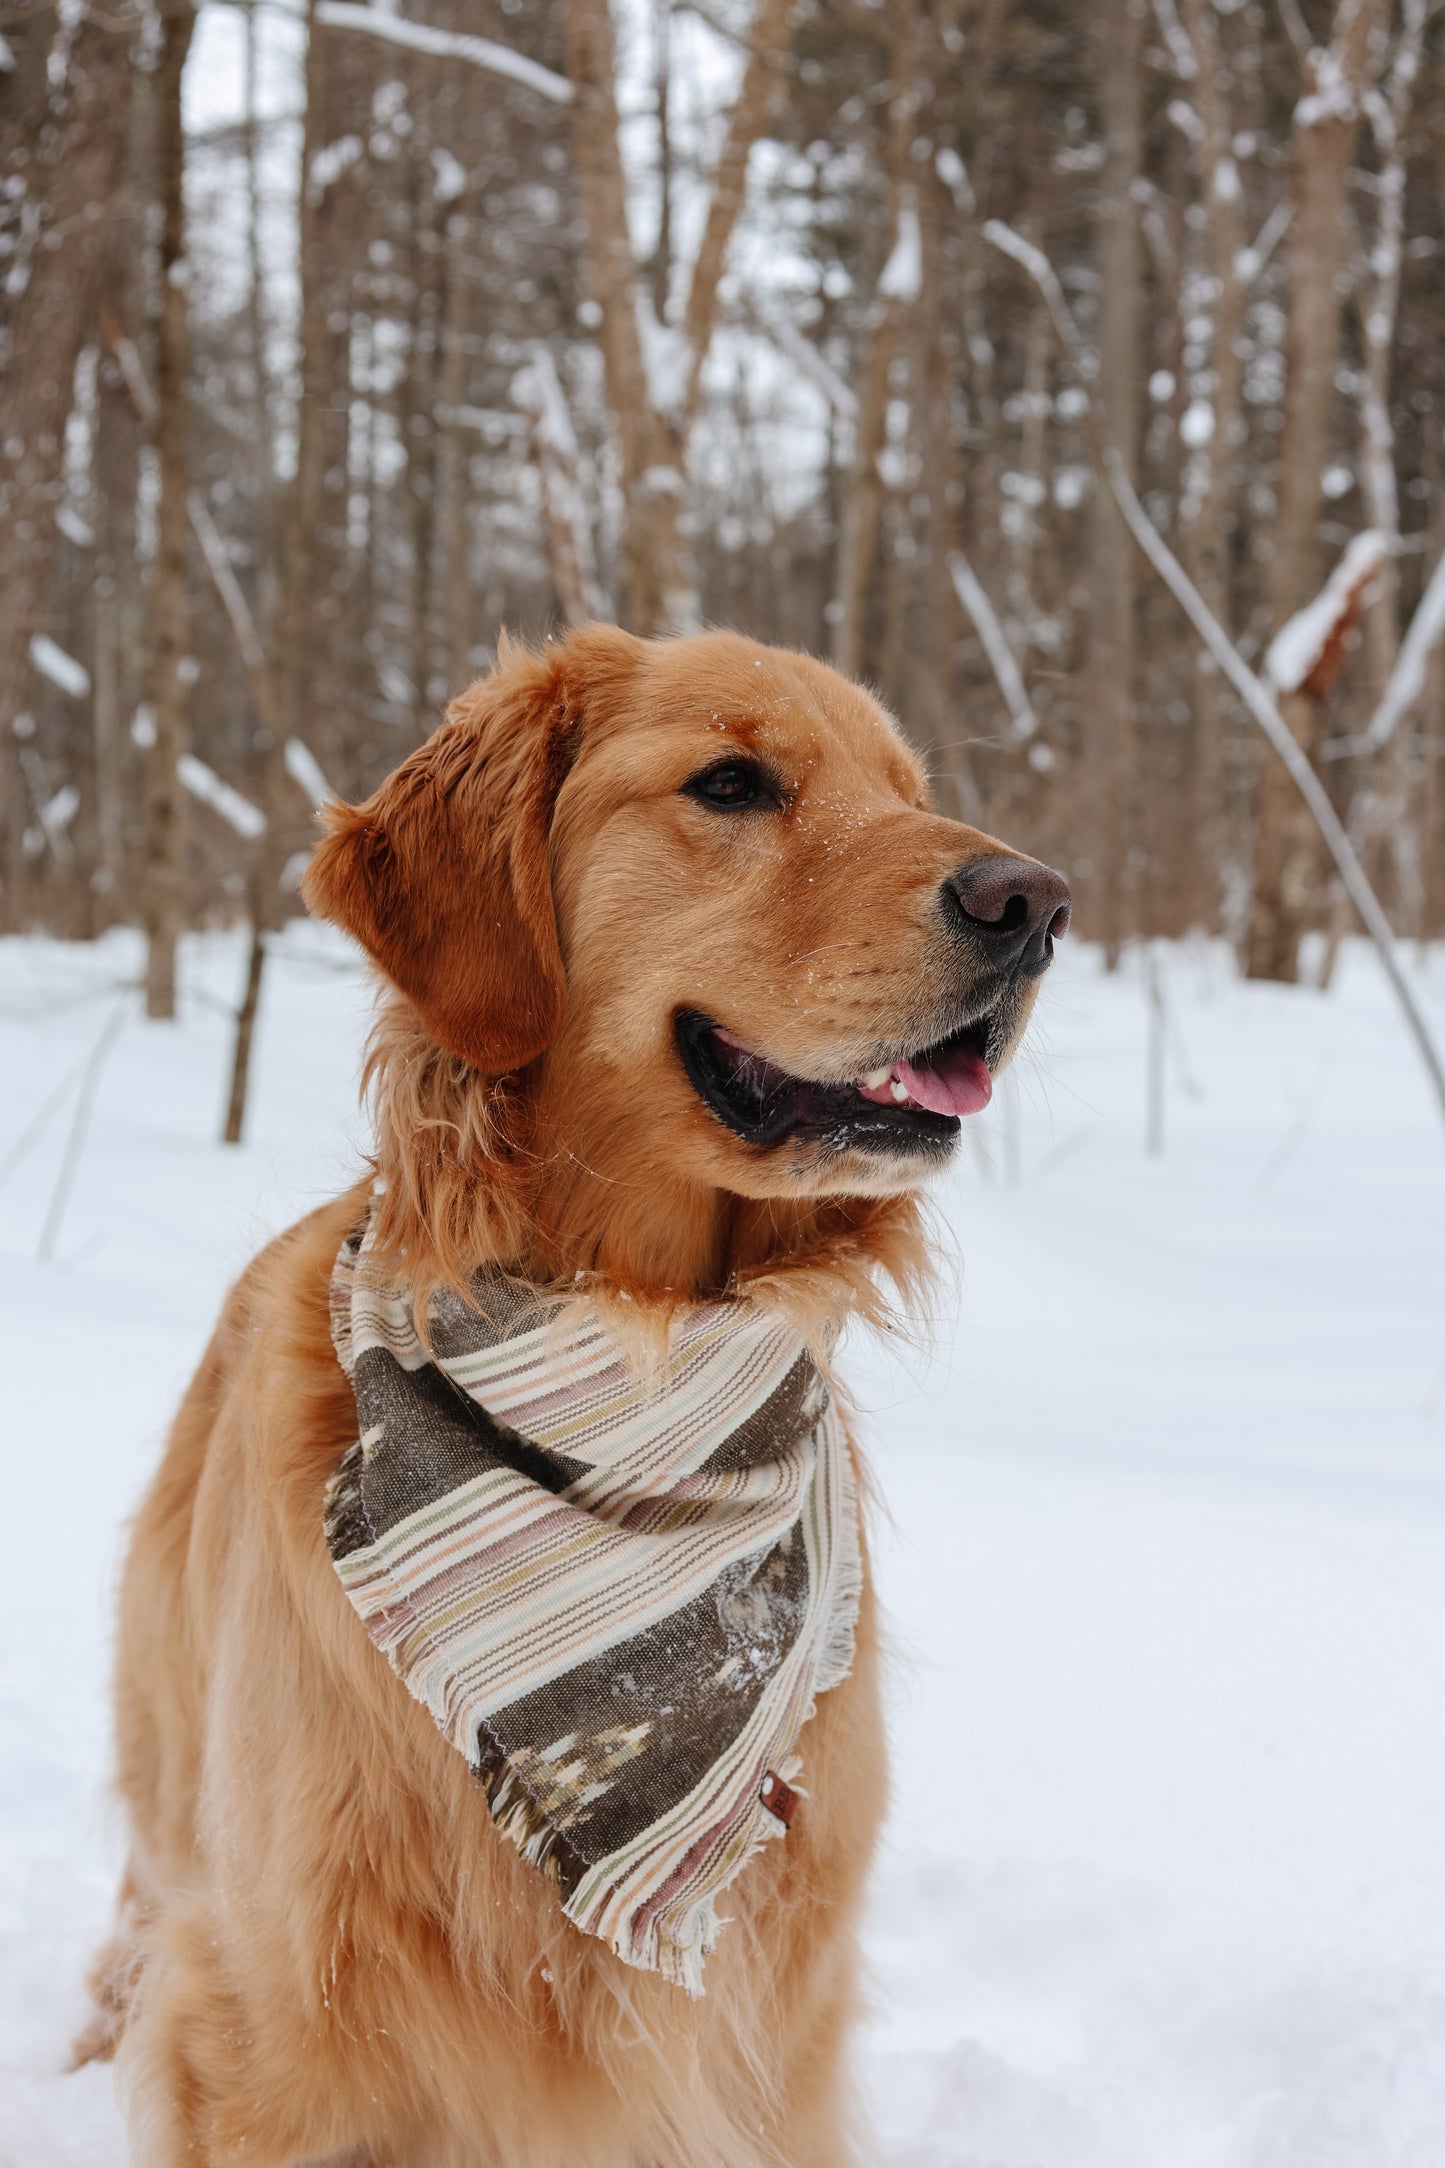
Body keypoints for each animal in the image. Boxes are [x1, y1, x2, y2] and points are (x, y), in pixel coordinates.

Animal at [87, 620, 1061, 2159]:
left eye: (909, 791)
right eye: (731, 783)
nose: (1034, 902)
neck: (638, 1340)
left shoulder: (774, 2048)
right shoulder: (258, 2031)